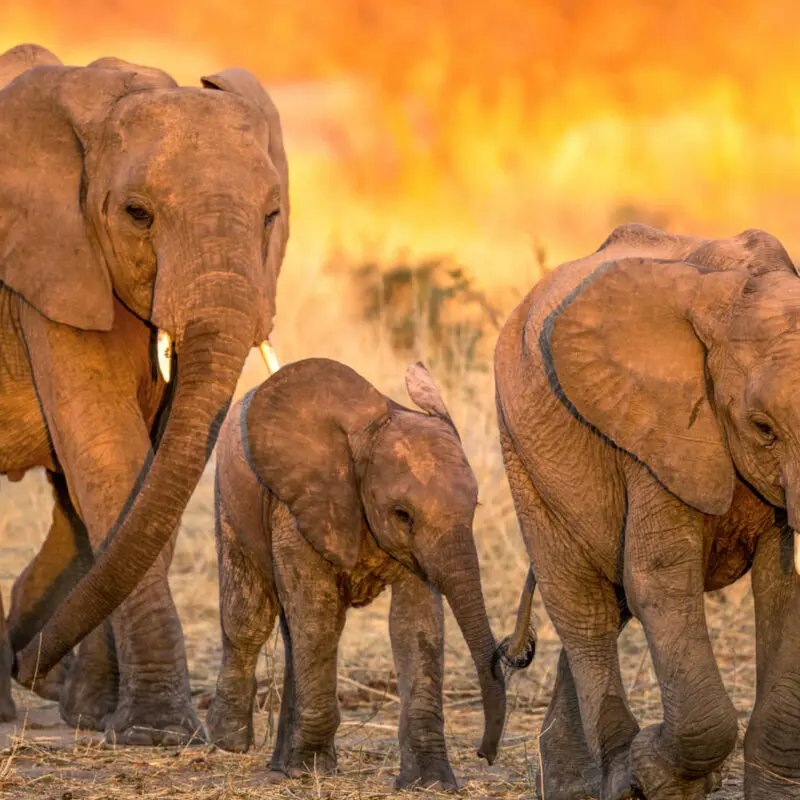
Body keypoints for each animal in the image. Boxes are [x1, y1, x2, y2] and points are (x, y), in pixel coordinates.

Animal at [0, 42, 289, 744]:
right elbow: (108, 451)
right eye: (137, 214)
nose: (28, 663)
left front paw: (96, 714)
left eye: (272, 215)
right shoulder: (52, 266)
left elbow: (151, 469)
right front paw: (156, 733)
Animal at [204, 358, 507, 789]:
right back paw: (230, 741)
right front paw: (312, 768)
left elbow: (415, 626)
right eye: (402, 514)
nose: (485, 754)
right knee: (250, 615)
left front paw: (430, 782)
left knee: (290, 632)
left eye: (475, 506)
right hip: (228, 499)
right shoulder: (299, 505)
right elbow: (318, 616)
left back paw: (282, 763)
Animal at [494, 222, 800, 799]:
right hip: (522, 452)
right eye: (763, 428)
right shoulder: (655, 432)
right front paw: (659, 776)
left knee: (609, 601)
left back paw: (572, 783)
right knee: (582, 607)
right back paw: (615, 779)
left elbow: (784, 590)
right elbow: (659, 578)